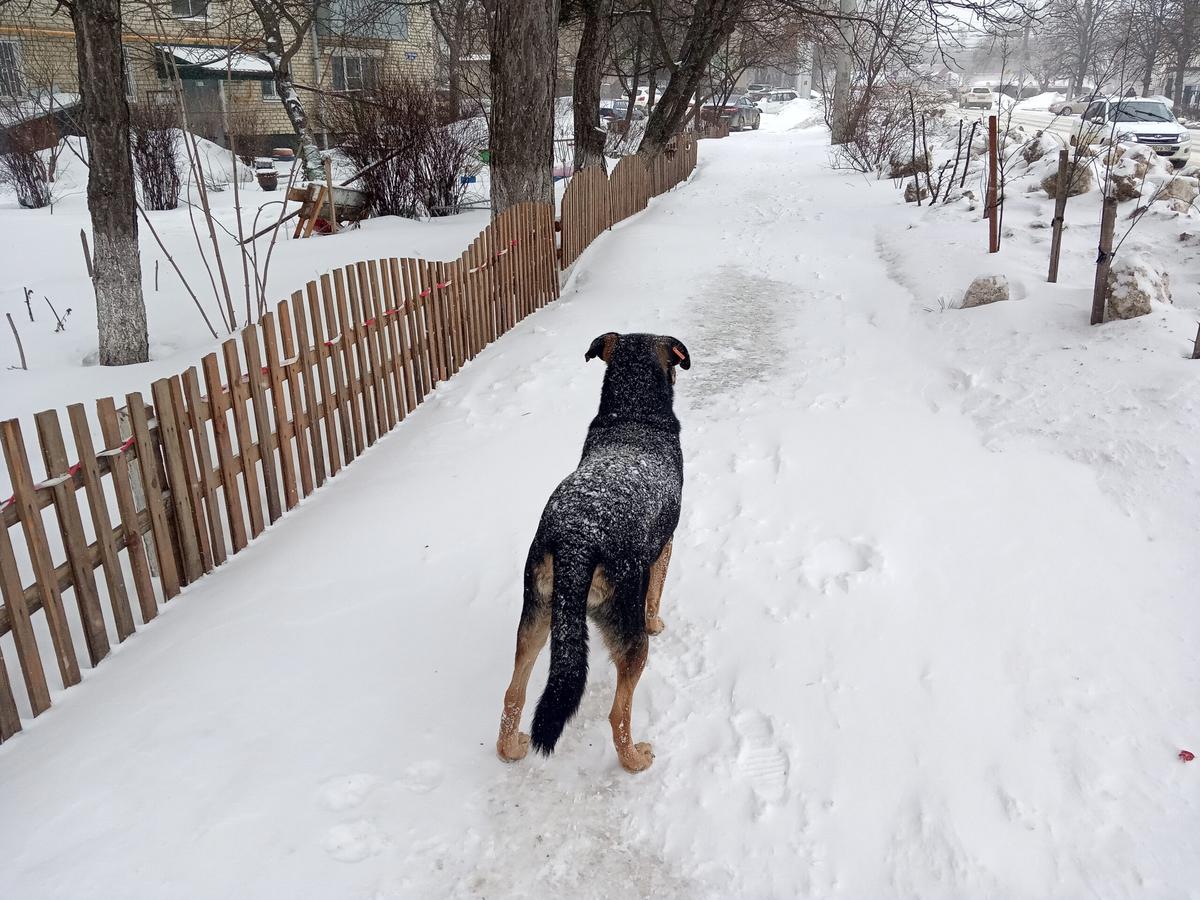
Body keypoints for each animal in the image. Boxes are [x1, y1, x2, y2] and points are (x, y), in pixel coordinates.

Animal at [494, 333, 686, 777]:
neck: (632, 415)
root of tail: (577, 540)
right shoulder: (665, 546)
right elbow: (656, 595)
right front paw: (657, 622)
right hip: (626, 632)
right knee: (619, 714)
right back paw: (636, 760)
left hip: (538, 613)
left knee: (513, 693)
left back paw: (511, 748)